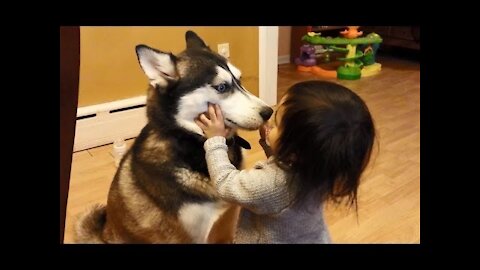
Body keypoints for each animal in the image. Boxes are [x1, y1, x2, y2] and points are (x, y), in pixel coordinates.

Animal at [73, 30, 272, 244]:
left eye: (240, 80)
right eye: (222, 87)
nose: (268, 112)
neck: (189, 142)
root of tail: (103, 232)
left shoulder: (226, 225)